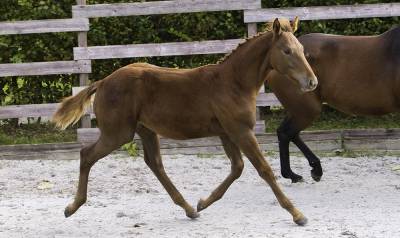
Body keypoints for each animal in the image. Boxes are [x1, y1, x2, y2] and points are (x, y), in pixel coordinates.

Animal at [53, 18, 318, 225]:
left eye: (301, 48)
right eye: (286, 51)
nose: (312, 82)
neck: (233, 82)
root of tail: (103, 82)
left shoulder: (227, 133)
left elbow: (237, 168)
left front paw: (203, 203)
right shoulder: (240, 131)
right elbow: (264, 170)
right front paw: (297, 214)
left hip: (145, 129)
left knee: (155, 164)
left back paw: (189, 209)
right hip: (118, 133)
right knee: (87, 154)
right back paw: (71, 207)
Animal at [268, 25, 400, 182]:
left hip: (298, 109)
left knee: (287, 133)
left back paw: (306, 171)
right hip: (307, 109)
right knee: (286, 133)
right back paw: (299, 173)